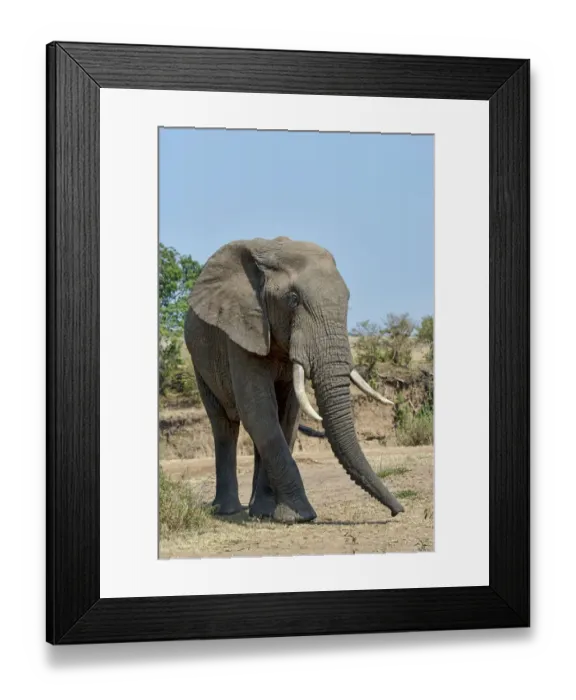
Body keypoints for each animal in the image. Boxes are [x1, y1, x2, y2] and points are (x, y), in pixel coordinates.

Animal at [184, 236, 405, 523]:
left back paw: (258, 510)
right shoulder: (242, 330)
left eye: (347, 299)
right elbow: (258, 410)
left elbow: (287, 414)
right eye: (293, 299)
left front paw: (278, 514)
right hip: (199, 360)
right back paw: (228, 510)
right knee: (224, 424)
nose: (397, 511)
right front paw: (301, 515)